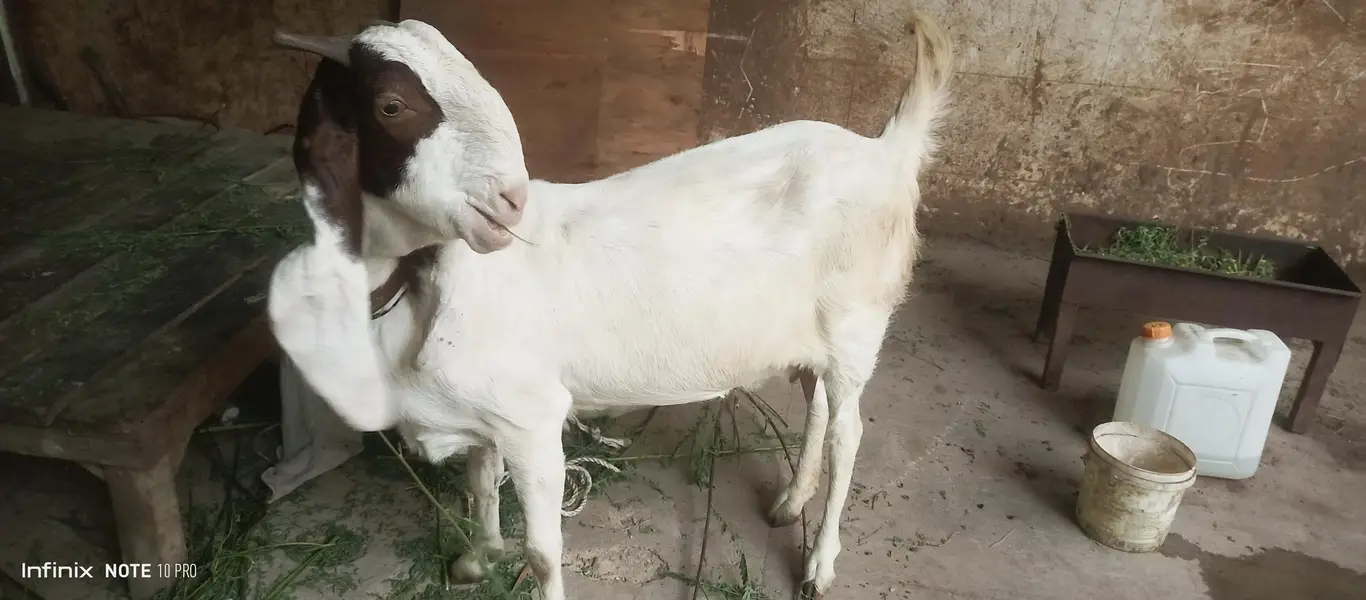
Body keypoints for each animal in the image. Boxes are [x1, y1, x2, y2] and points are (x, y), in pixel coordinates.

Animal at [267, 13, 954, 600]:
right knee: (818, 408)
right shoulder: (490, 415)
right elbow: (481, 486)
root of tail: (886, 151)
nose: (511, 201)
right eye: (391, 105)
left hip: (857, 325)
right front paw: (477, 558)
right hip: (814, 335)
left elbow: (543, 550)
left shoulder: (533, 419)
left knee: (847, 435)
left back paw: (820, 565)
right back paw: (789, 503)